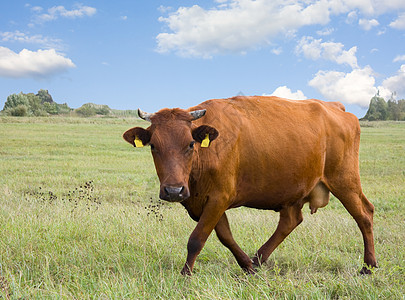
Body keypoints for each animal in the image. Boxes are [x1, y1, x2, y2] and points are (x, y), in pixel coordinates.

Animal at [122, 96, 376, 276]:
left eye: (190, 144)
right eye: (153, 146)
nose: (173, 191)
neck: (207, 152)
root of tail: (335, 107)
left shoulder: (219, 198)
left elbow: (197, 239)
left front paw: (186, 274)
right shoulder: (205, 202)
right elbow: (225, 236)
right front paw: (247, 266)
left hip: (345, 180)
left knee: (364, 215)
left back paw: (368, 266)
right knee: (290, 221)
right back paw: (258, 259)